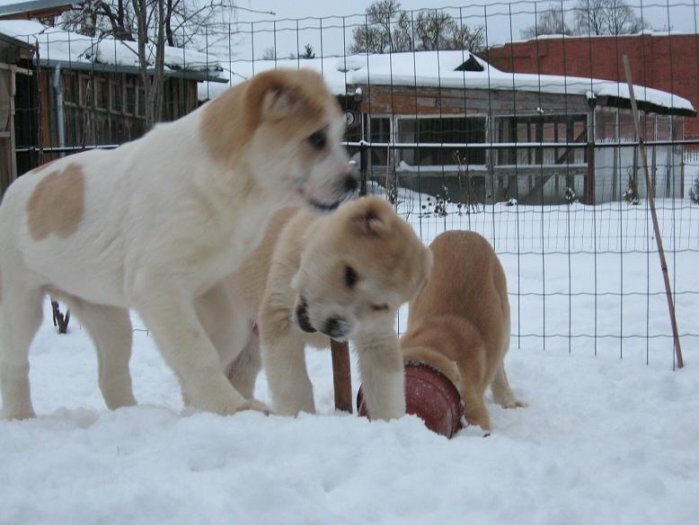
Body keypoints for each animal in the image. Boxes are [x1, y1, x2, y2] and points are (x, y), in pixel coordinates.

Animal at [0, 68, 358, 418]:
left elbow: (217, 341)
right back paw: (22, 417)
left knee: (111, 372)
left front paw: (199, 404)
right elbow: (197, 350)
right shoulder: (158, 286)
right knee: (14, 365)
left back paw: (132, 417)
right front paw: (232, 407)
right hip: (19, 305)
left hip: (106, 315)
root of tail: (13, 188)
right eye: (316, 139)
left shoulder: (209, 285)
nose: (354, 183)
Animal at [201, 196, 432, 422]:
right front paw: (299, 416)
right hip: (228, 329)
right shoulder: (279, 314)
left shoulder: (376, 336)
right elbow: (292, 381)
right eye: (350, 274)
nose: (336, 326)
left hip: (251, 341)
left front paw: (391, 422)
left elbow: (387, 389)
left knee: (238, 373)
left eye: (381, 306)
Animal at [400, 230, 524, 430]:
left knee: (499, 368)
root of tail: (462, 232)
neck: (431, 346)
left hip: (505, 324)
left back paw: (508, 401)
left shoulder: (474, 408)